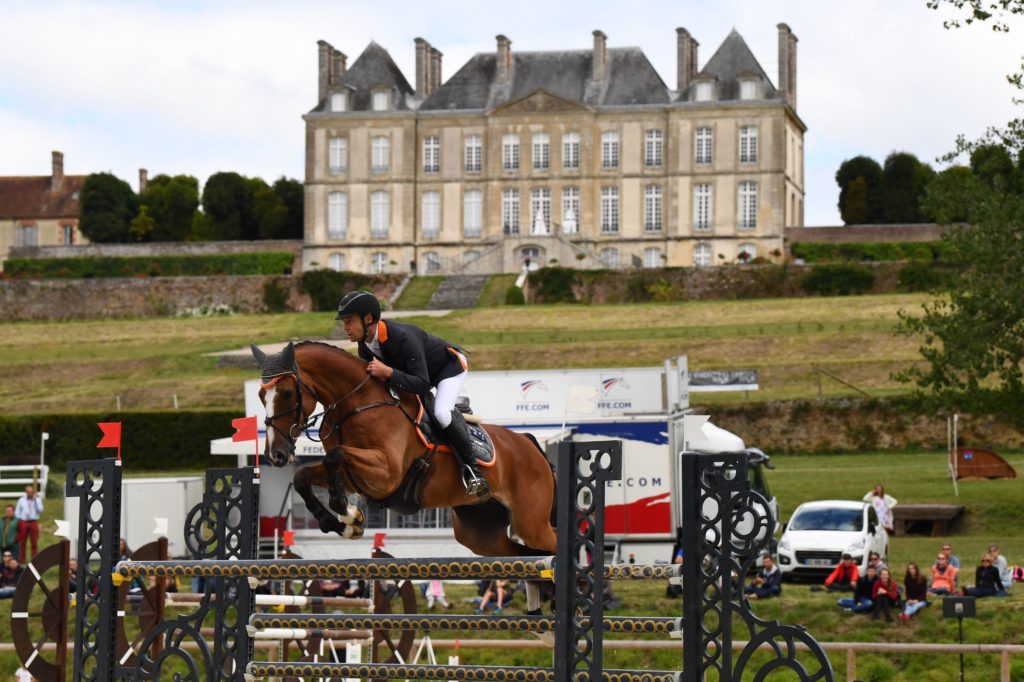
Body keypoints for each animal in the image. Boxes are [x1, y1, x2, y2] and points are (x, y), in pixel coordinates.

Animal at [248, 337, 557, 606]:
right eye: (261, 395)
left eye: (287, 393)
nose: (276, 455)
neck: (356, 403)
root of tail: (528, 442)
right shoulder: (359, 478)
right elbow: (305, 475)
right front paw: (344, 523)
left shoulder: (386, 473)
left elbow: (335, 457)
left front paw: (347, 513)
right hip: (481, 534)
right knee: (525, 557)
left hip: (531, 522)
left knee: (550, 546)